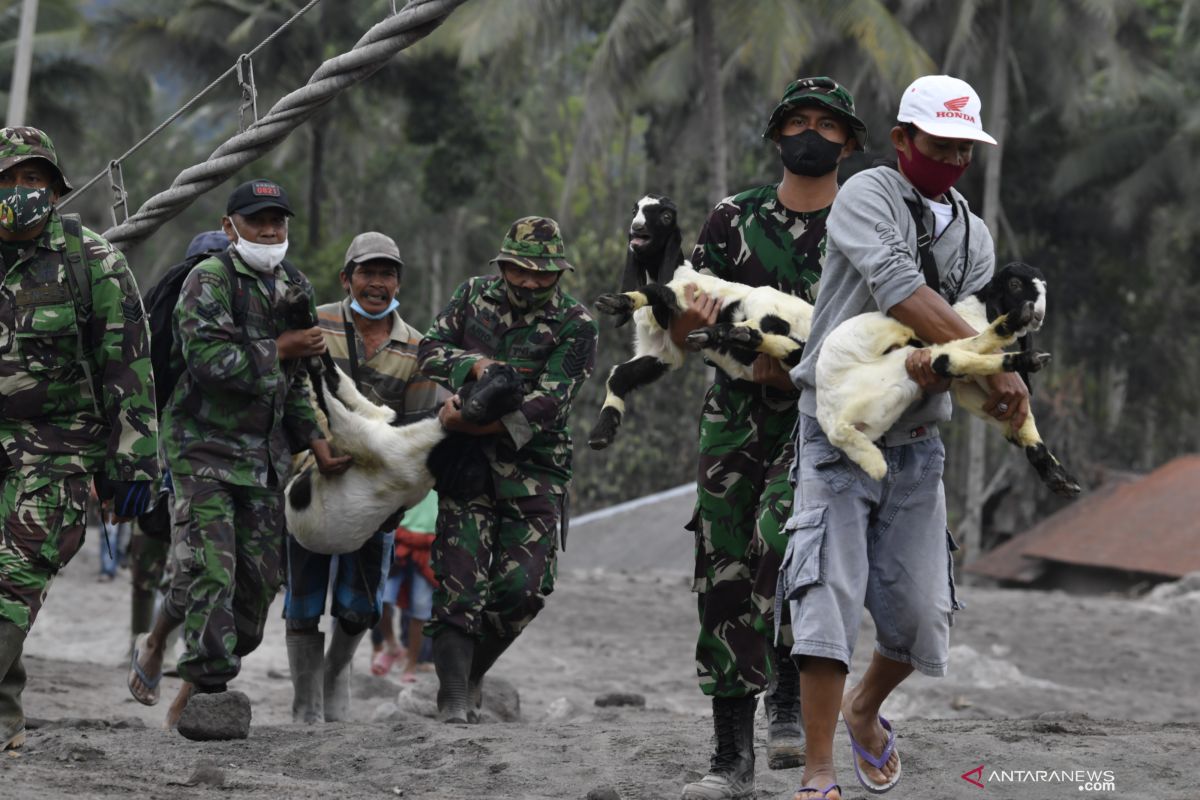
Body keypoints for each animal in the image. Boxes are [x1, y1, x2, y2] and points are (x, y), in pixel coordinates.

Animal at [285, 357, 525, 556]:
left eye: (512, 399)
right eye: (487, 373)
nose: (475, 407)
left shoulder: (362, 438)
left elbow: (329, 401)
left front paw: (313, 365)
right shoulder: (385, 417)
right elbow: (346, 388)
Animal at [585, 194, 811, 450]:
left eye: (666, 216)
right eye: (635, 210)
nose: (637, 229)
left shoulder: (683, 294)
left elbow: (656, 290)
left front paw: (617, 302)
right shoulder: (661, 349)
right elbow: (619, 376)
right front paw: (602, 432)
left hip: (763, 300)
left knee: (775, 326)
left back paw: (728, 334)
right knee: (792, 350)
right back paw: (724, 336)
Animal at [816, 262, 1080, 496]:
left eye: (1043, 286)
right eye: (1014, 284)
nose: (1038, 314)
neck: (976, 310)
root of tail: (833, 422)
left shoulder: (967, 387)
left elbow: (1014, 421)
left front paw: (1056, 475)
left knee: (946, 359)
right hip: (895, 366)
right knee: (945, 356)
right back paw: (1018, 339)